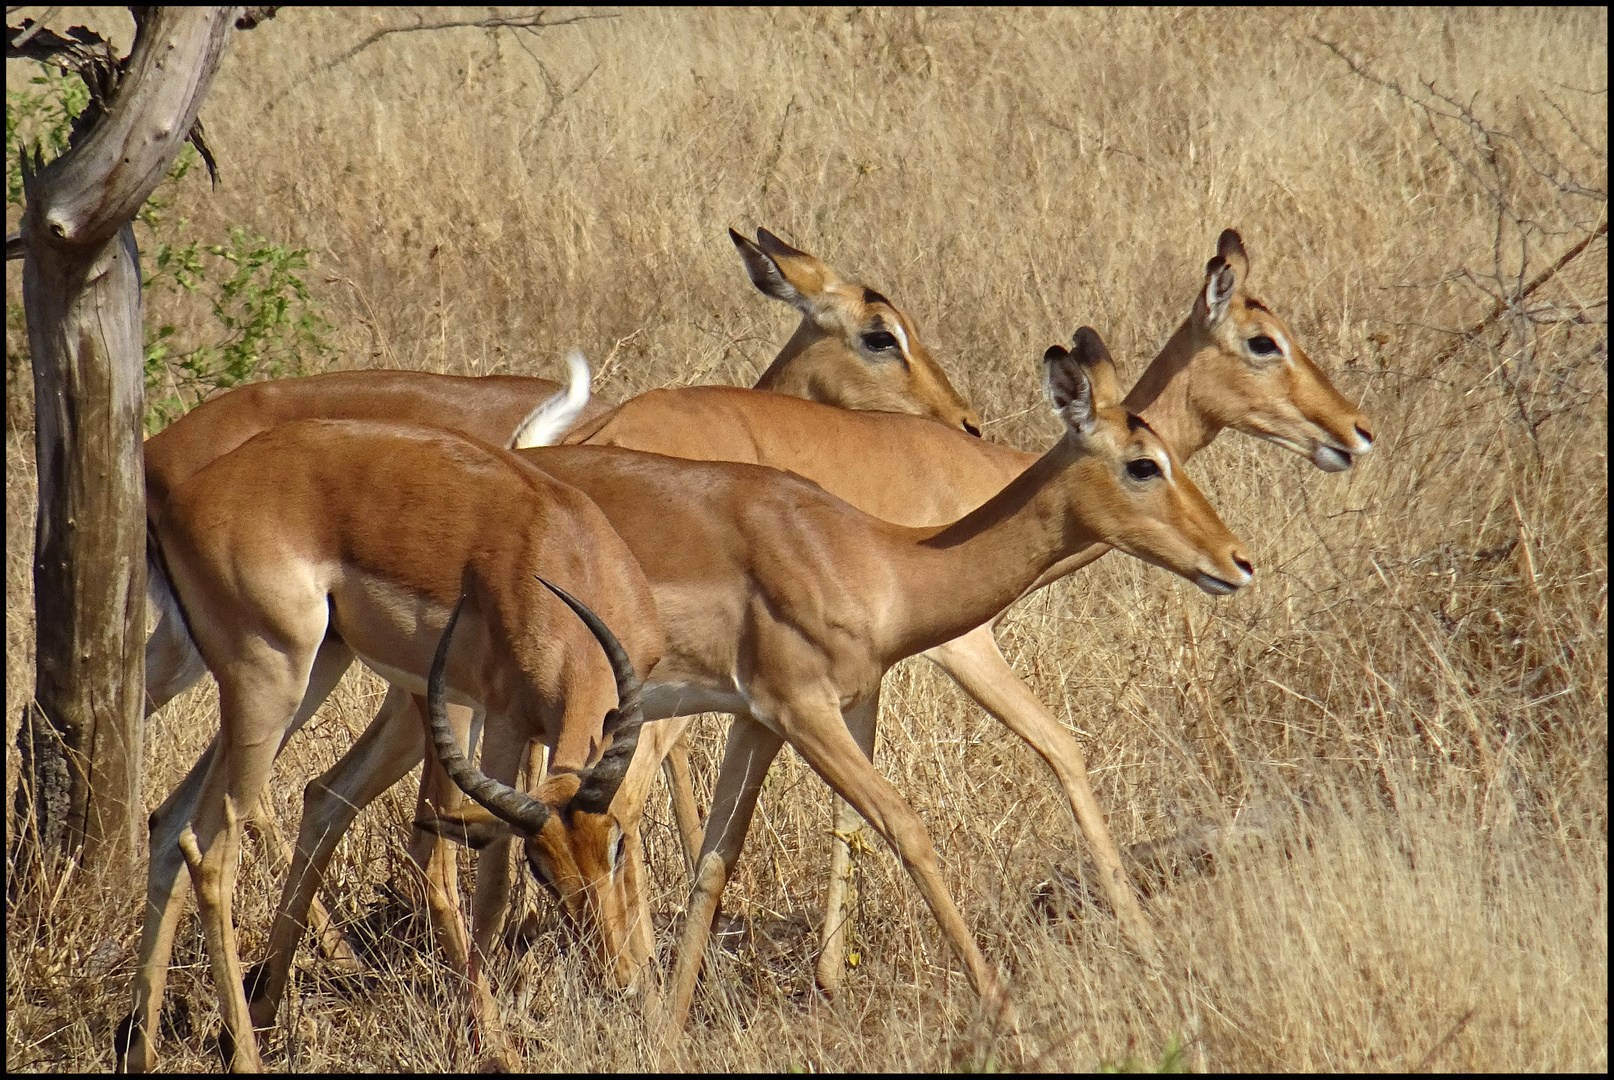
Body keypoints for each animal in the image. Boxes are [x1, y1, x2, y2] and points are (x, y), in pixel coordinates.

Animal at [115, 419, 661, 1071]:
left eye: (616, 847)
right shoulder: (497, 720)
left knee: (177, 822)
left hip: (312, 672)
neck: (566, 554)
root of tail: (187, 499)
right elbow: (487, 882)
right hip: (273, 681)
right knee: (212, 851)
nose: (616, 978)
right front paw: (494, 1044)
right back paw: (242, 1050)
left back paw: (149, 1046)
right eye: (542, 869)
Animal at [238, 332, 1252, 1046]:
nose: (1236, 561)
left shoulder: (761, 723)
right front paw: (1006, 1014)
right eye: (1141, 463)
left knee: (335, 798)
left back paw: (272, 1006)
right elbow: (907, 828)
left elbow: (715, 866)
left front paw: (665, 1030)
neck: (875, 557)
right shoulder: (805, 713)